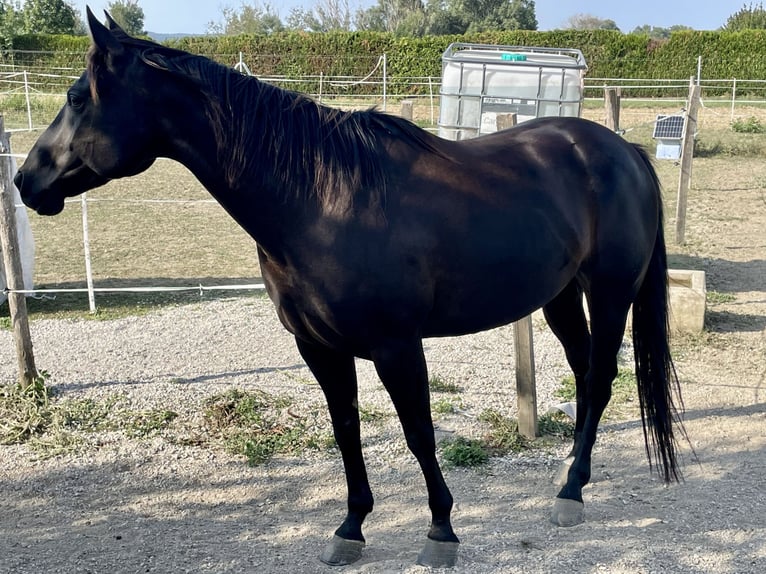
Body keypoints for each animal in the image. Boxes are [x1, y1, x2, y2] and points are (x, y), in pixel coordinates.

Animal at [13, 10, 684, 572]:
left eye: (77, 98)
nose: (26, 180)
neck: (318, 198)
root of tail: (623, 150)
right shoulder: (320, 348)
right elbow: (346, 431)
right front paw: (351, 528)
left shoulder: (396, 346)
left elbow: (418, 433)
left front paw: (441, 531)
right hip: (560, 297)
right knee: (585, 374)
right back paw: (574, 480)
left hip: (610, 293)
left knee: (602, 376)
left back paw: (570, 492)